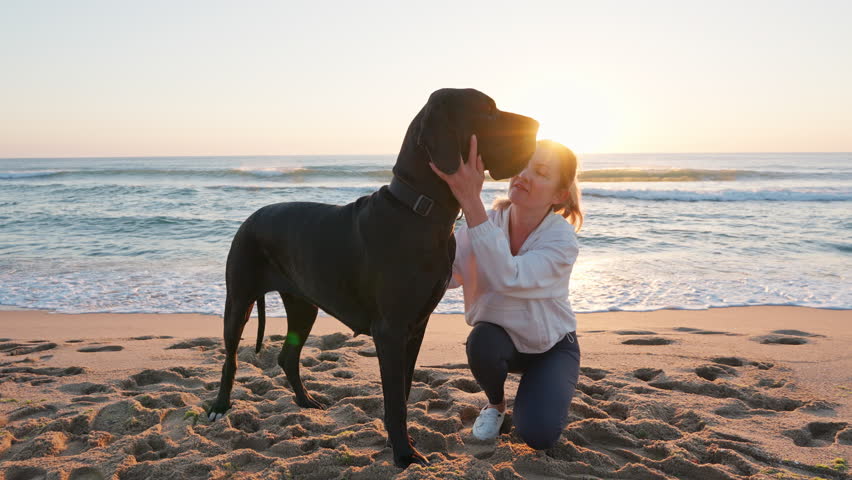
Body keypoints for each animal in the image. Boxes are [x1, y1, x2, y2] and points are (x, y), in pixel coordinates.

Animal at [208, 88, 540, 466]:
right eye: (487, 111)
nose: (536, 125)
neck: (420, 210)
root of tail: (250, 218)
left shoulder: (415, 326)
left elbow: (403, 391)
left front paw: (399, 443)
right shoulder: (390, 329)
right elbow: (395, 399)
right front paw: (405, 455)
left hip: (304, 304)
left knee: (287, 356)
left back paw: (306, 401)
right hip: (239, 299)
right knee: (231, 358)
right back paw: (220, 406)